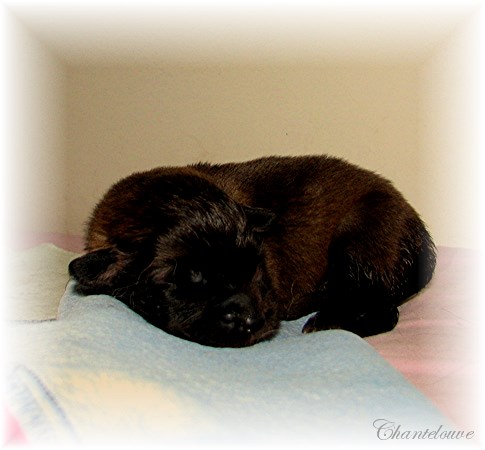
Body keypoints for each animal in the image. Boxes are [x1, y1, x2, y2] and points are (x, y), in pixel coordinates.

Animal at [68, 155, 434, 348]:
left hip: (357, 241)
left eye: (255, 265)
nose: (252, 319)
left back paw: (323, 322)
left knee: (383, 310)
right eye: (187, 279)